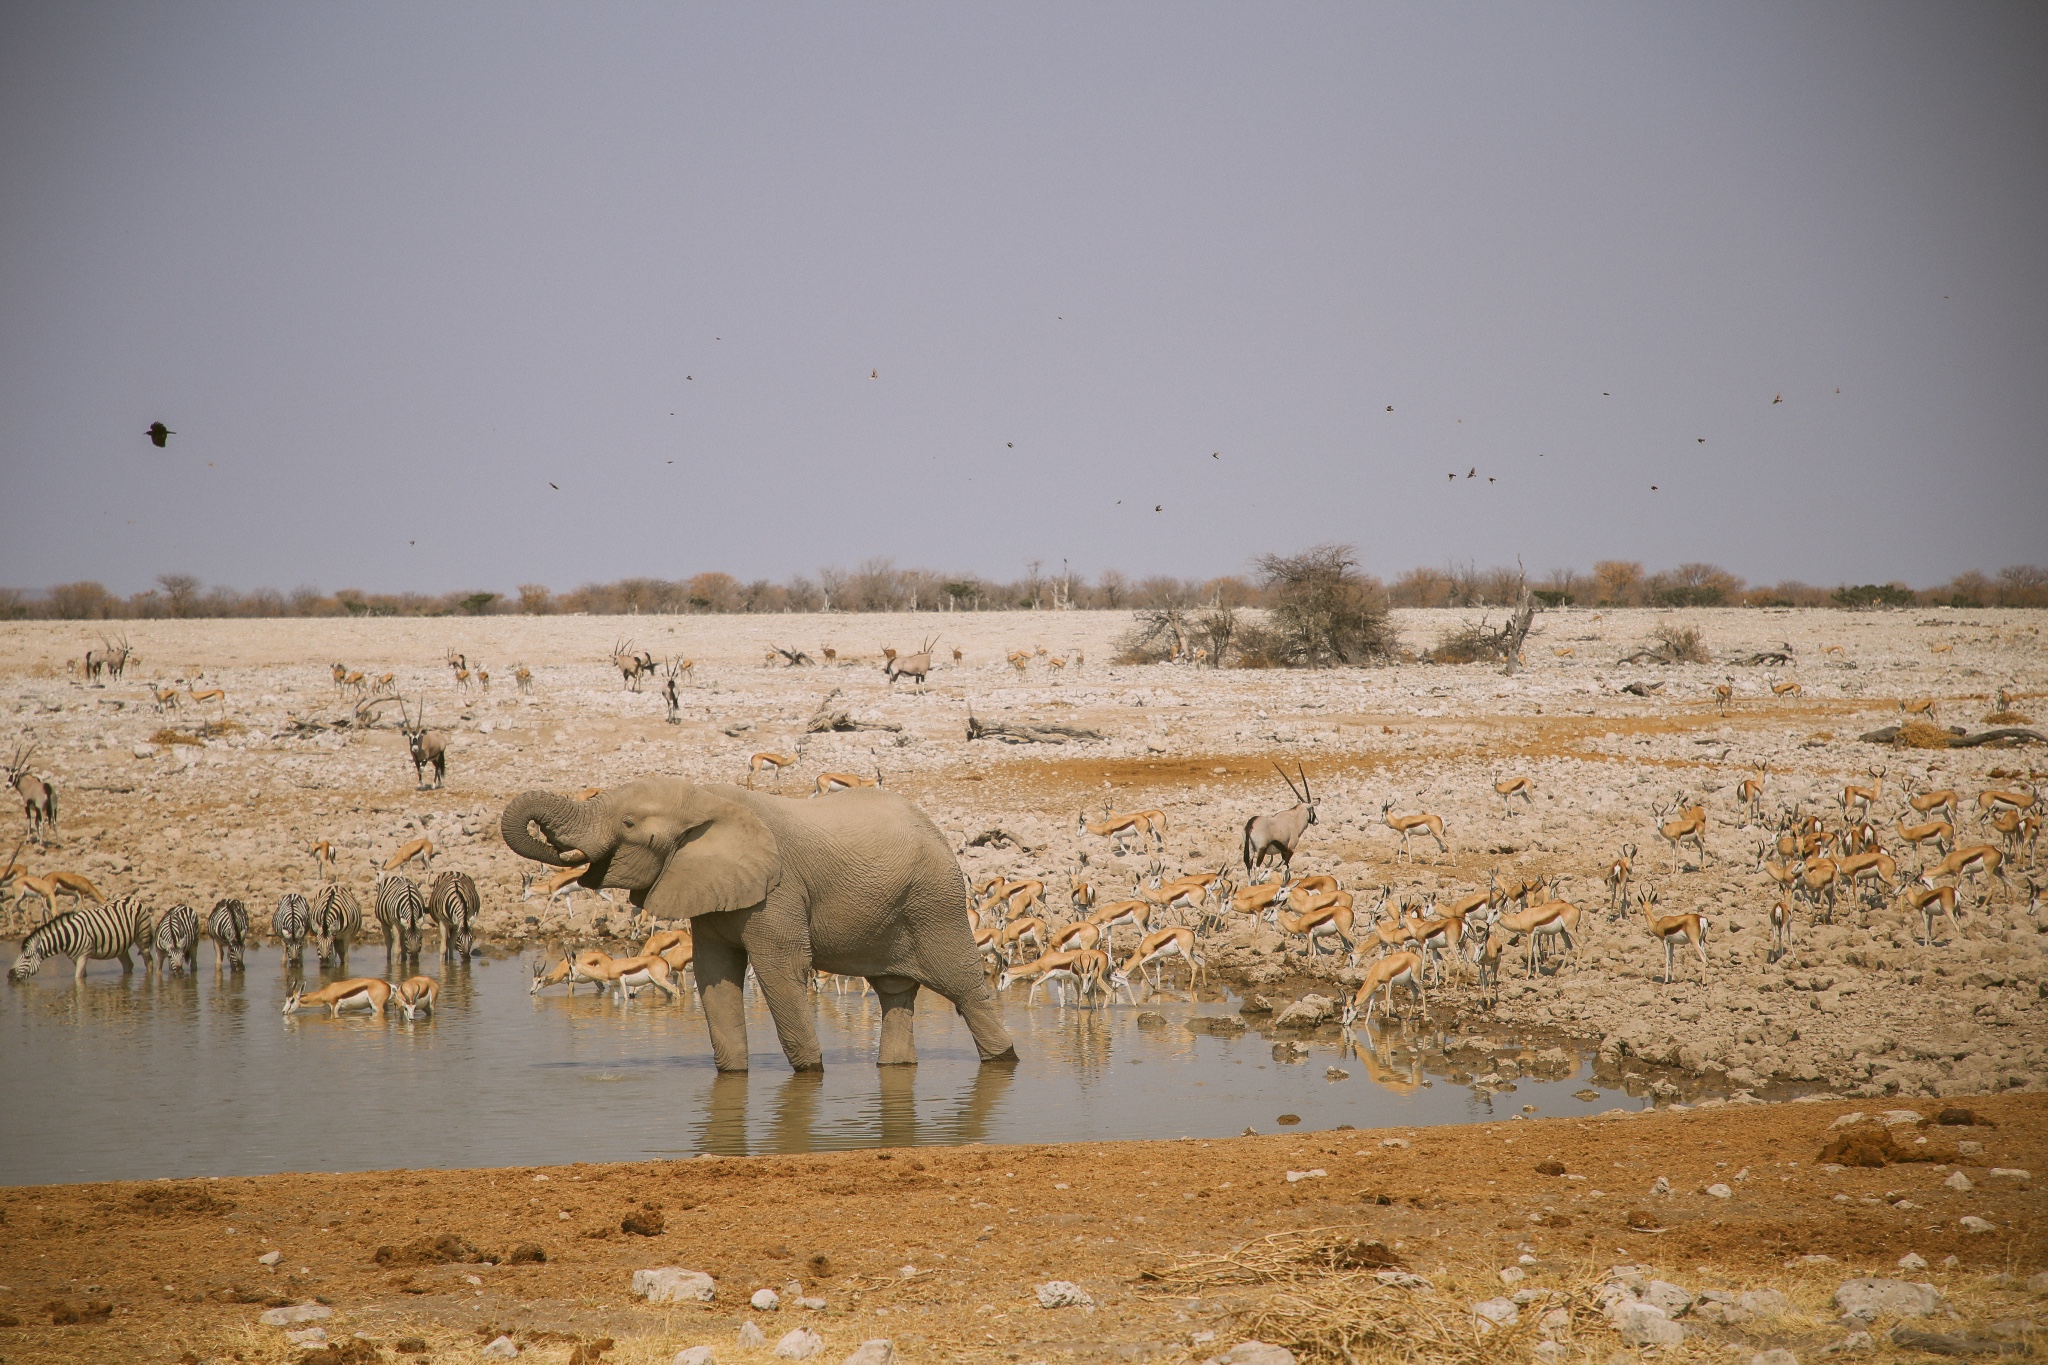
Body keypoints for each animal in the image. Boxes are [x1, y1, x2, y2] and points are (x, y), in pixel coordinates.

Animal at [8, 896, 153, 982]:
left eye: (27, 957)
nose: (9, 975)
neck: (68, 936)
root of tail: (130, 898)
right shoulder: (74, 958)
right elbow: (82, 976)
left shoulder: (83, 955)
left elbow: (78, 979)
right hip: (121, 945)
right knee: (128, 965)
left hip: (142, 937)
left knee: (149, 961)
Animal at [495, 785, 1007, 1072]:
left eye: (628, 822)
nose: (558, 850)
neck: (703, 798)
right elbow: (714, 975)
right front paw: (731, 1076)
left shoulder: (778, 889)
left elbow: (780, 972)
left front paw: (810, 1074)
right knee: (895, 993)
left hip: (935, 901)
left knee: (963, 987)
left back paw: (1004, 1060)